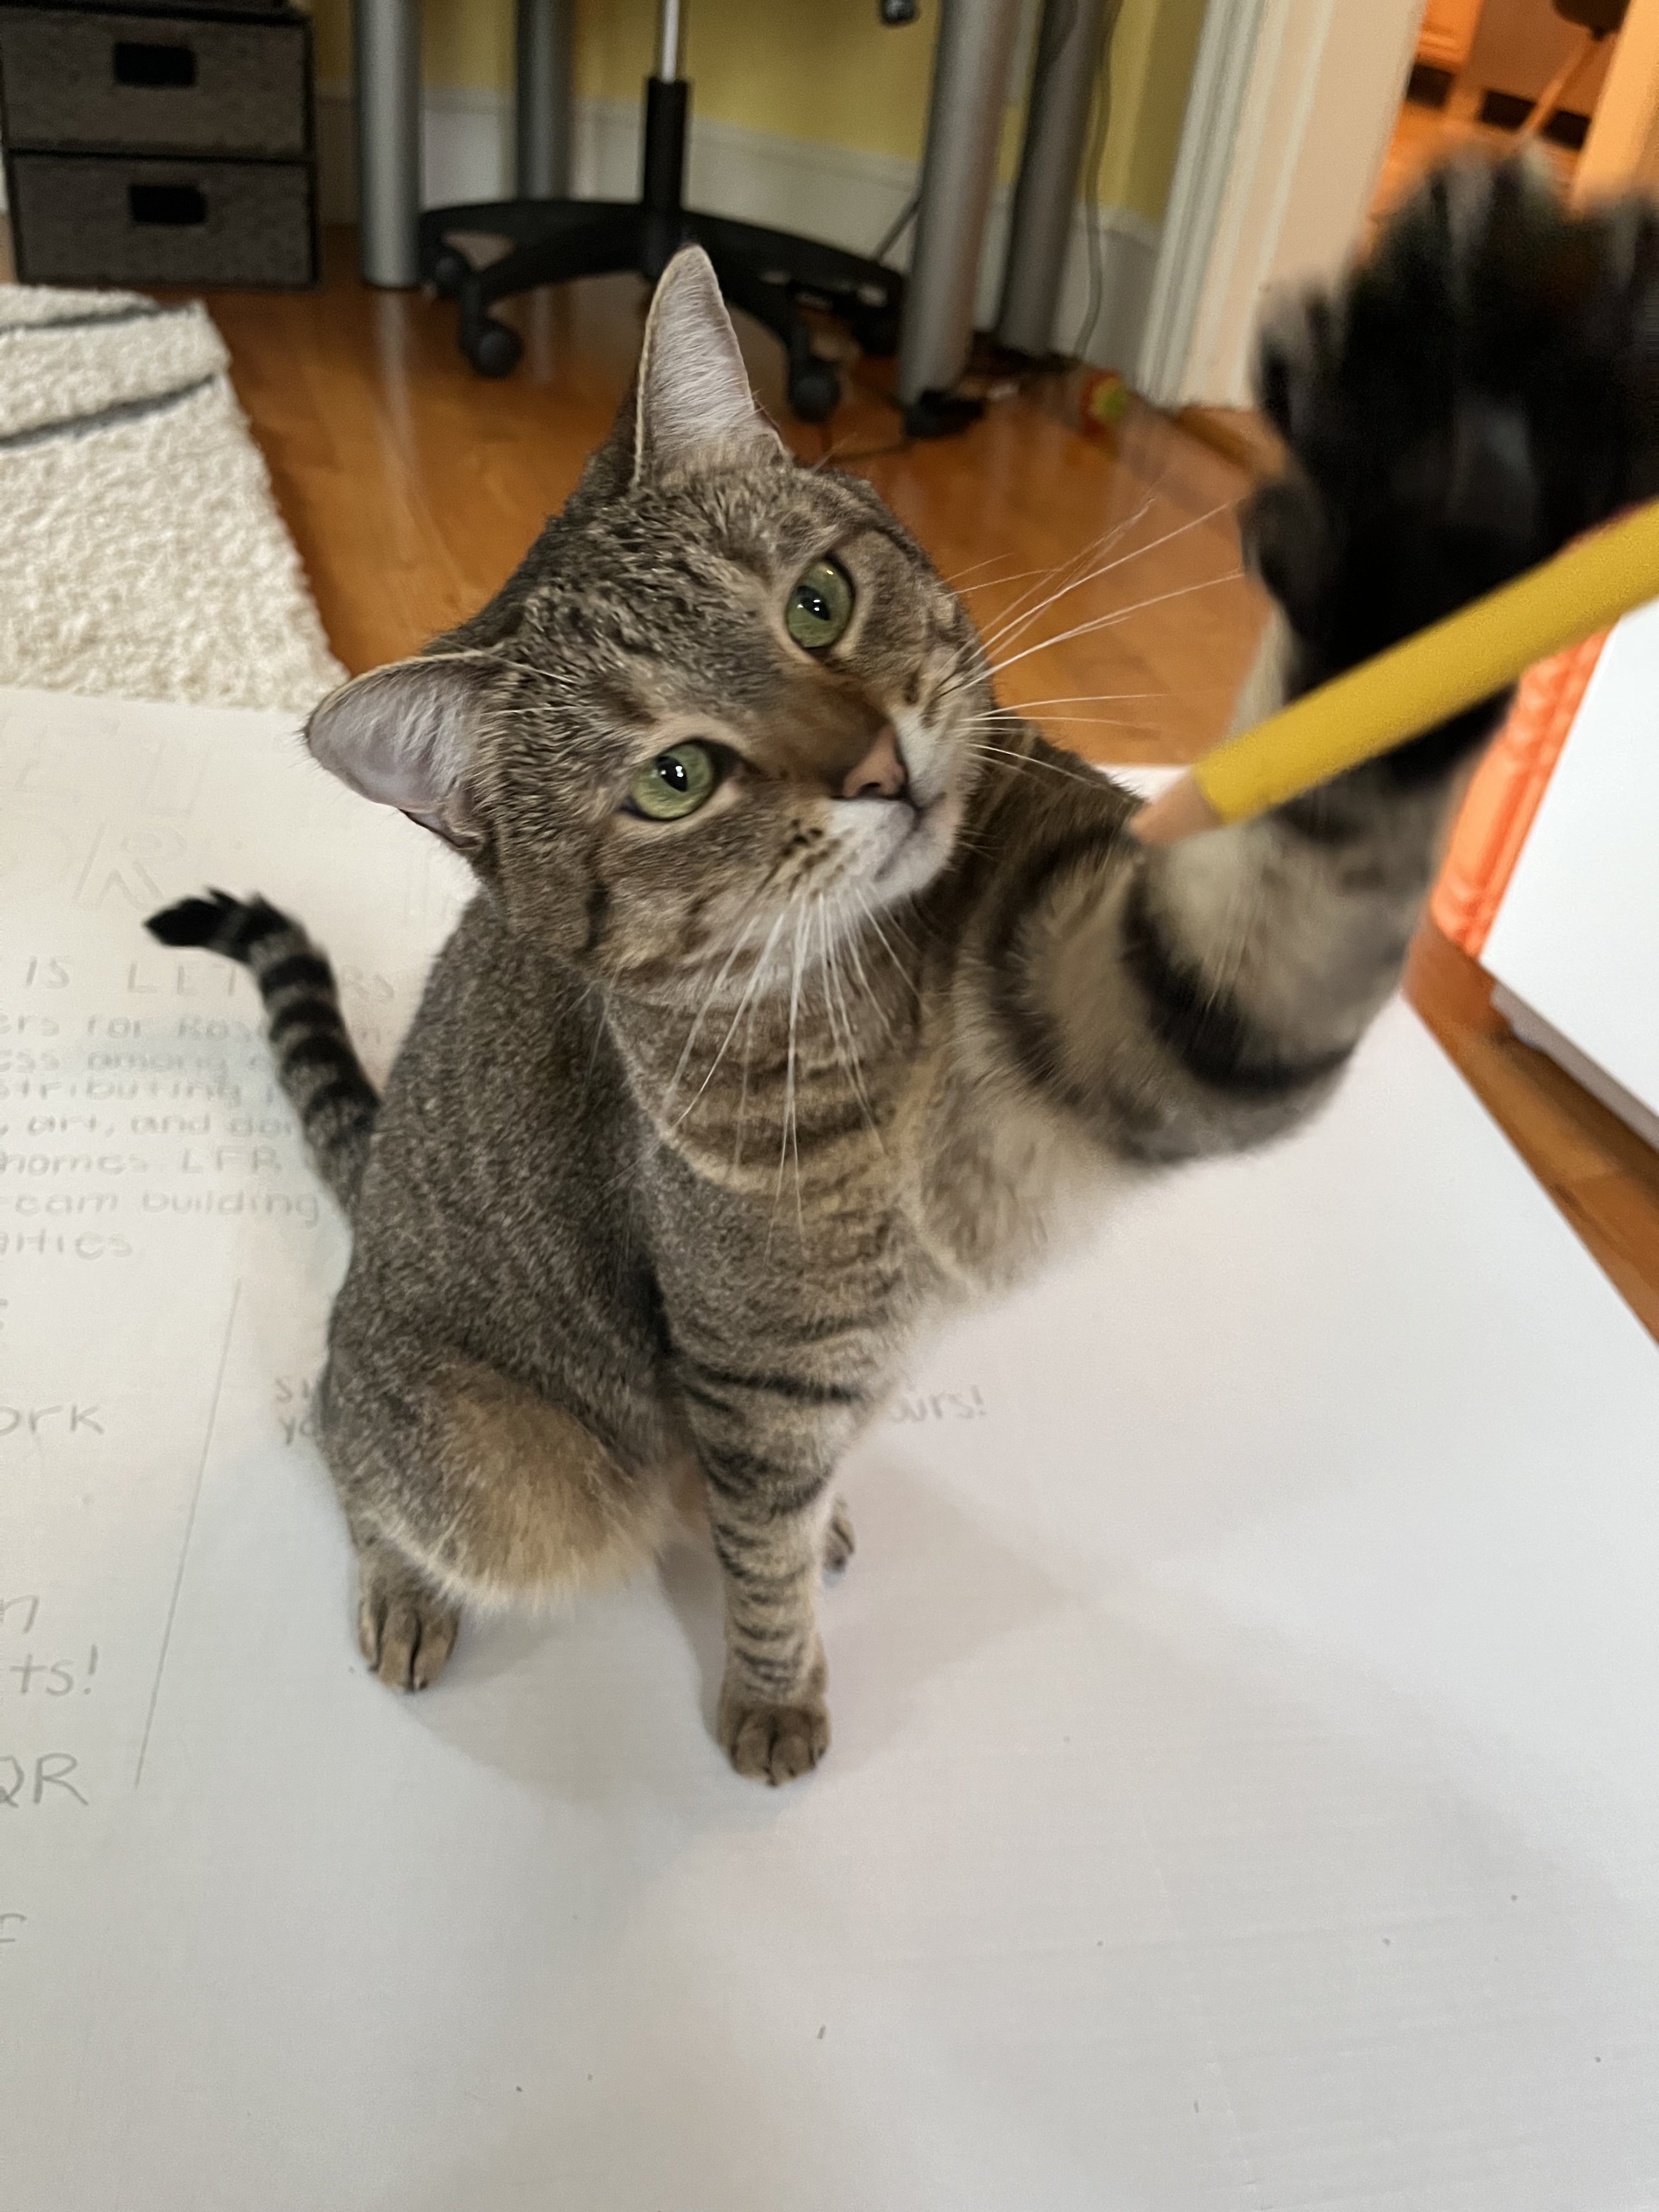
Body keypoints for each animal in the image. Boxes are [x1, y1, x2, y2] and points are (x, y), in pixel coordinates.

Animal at [150, 160, 1659, 1783]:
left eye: (818, 603)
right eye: (676, 779)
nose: (877, 766)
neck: (886, 982)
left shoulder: (1106, 993)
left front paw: (1452, 459)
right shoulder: (763, 1369)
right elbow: (757, 1560)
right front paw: (773, 1698)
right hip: (498, 1467)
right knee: (355, 1455)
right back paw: (407, 1593)